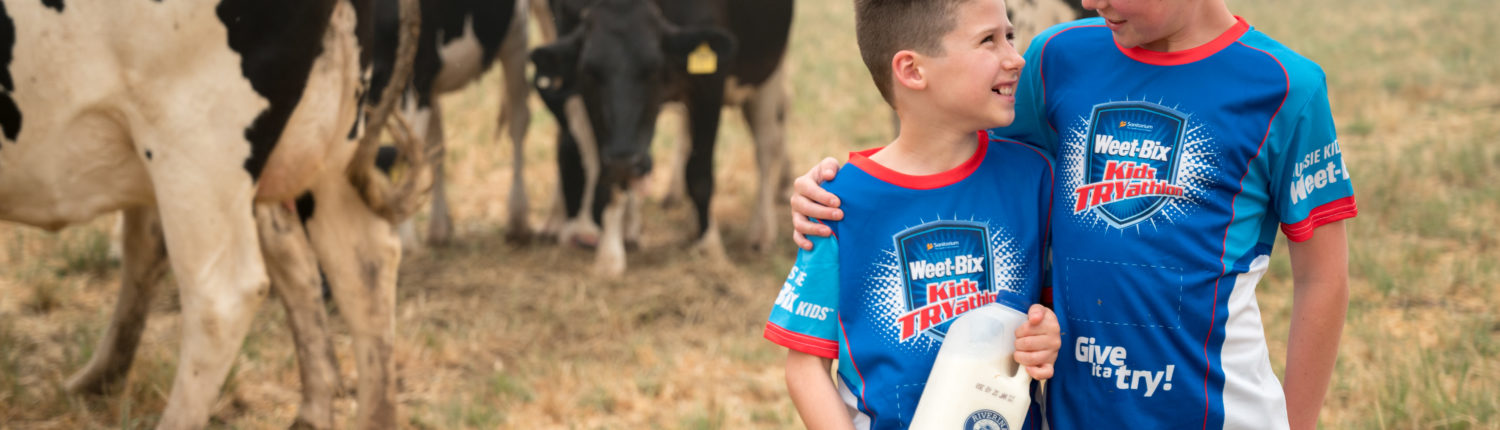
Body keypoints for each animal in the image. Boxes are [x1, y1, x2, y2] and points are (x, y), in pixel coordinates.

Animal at [537, 0, 798, 275]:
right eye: (590, 72)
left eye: (652, 69)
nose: (625, 159)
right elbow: (607, 174)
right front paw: (609, 256)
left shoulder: (709, 81)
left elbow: (699, 173)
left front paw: (710, 249)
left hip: (769, 72)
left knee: (767, 145)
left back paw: (761, 230)